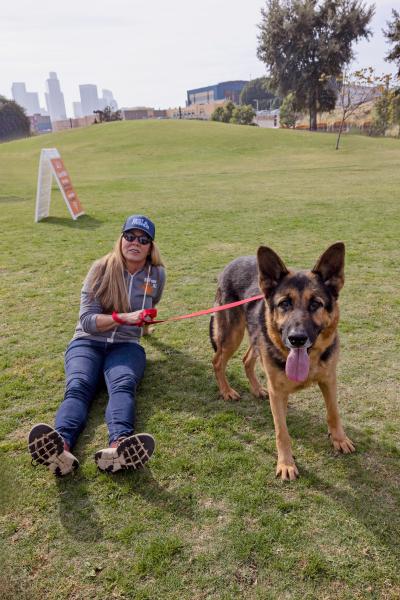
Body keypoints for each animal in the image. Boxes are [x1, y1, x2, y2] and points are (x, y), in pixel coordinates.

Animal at [211, 241, 354, 480]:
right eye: (284, 303)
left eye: (315, 304)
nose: (297, 339)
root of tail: (233, 262)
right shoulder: (278, 393)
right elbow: (282, 432)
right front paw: (286, 464)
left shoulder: (329, 380)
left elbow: (334, 412)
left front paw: (339, 439)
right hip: (233, 335)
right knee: (217, 361)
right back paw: (226, 391)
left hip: (255, 338)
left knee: (246, 359)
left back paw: (257, 389)